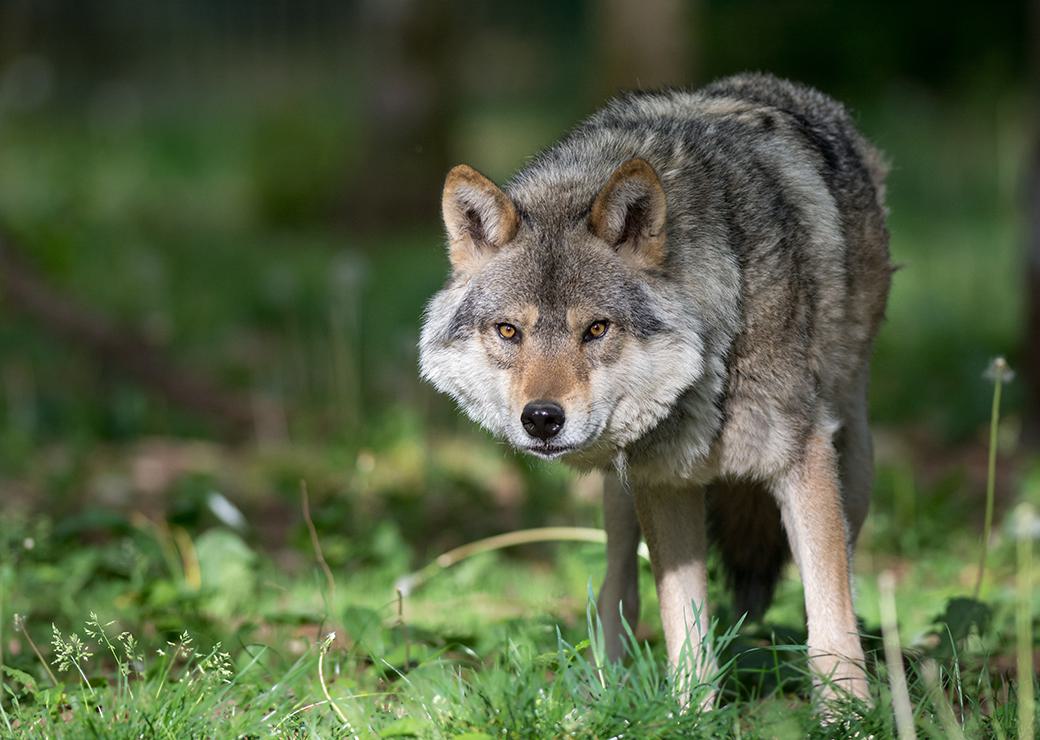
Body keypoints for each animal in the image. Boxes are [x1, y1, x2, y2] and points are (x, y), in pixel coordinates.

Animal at [418, 73, 890, 706]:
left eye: (596, 329)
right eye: (509, 331)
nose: (541, 418)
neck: (714, 356)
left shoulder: (802, 464)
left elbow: (830, 628)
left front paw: (847, 716)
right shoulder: (663, 483)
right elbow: (685, 633)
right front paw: (692, 715)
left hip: (853, 469)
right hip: (620, 497)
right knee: (617, 590)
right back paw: (602, 696)